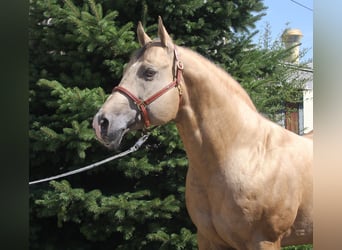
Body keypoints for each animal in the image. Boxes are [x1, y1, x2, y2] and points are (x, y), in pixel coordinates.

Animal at [93, 16, 312, 249]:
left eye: (149, 72)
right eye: (125, 70)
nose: (101, 123)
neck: (244, 155)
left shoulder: (265, 241)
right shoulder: (208, 239)